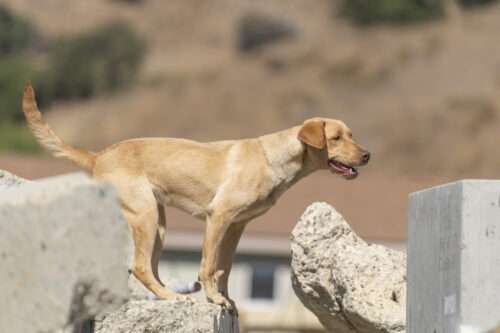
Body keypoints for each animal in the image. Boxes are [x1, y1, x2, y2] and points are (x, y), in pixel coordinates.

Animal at [22, 83, 368, 312]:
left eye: (351, 135)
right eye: (336, 138)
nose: (367, 155)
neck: (274, 159)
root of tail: (98, 157)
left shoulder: (237, 227)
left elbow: (225, 267)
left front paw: (226, 300)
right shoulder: (218, 217)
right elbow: (209, 264)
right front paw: (213, 298)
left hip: (159, 225)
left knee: (149, 267)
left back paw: (166, 295)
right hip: (145, 214)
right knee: (139, 266)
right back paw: (171, 297)